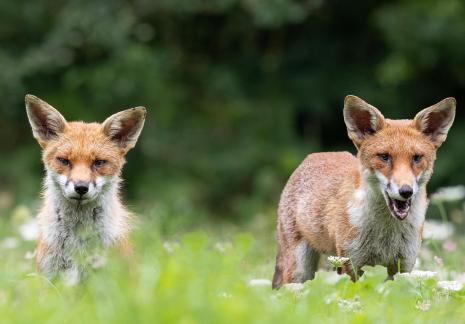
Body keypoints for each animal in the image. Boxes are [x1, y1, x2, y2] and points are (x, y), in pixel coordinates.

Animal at [270, 95, 454, 288]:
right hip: (299, 269)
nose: (406, 191)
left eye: (416, 158)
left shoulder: (404, 265)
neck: (386, 234)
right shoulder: (351, 263)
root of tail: (311, 157)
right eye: (384, 157)